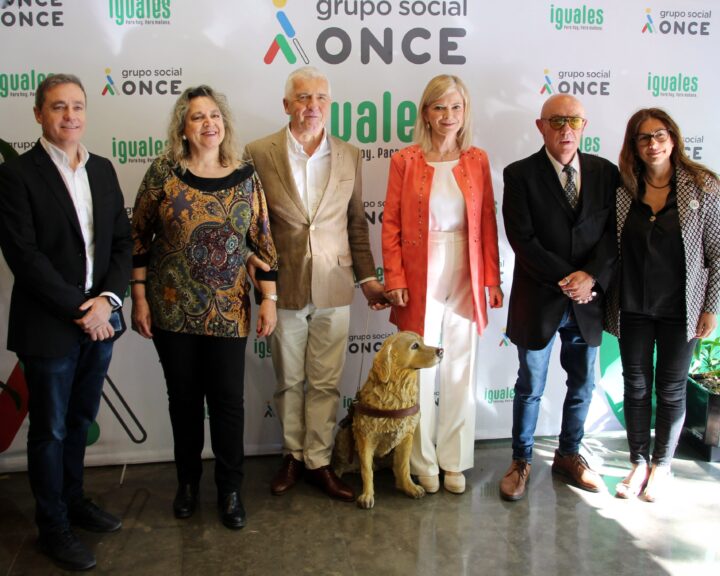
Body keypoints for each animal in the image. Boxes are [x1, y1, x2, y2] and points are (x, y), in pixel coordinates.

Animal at [331, 331, 443, 509]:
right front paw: (367, 495)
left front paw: (410, 487)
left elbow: (404, 466)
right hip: (343, 435)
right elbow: (367, 470)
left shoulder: (407, 436)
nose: (441, 351)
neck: (397, 388)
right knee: (341, 463)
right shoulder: (365, 437)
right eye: (414, 346)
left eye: (423, 342)